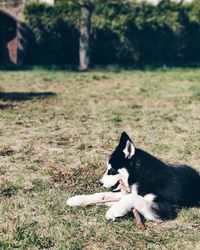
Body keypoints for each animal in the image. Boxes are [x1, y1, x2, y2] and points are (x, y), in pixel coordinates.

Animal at [67, 132, 200, 222]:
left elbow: (133, 198)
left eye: (112, 170)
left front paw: (115, 210)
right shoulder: (122, 193)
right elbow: (101, 195)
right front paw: (77, 199)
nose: (100, 183)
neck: (141, 176)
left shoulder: (166, 209)